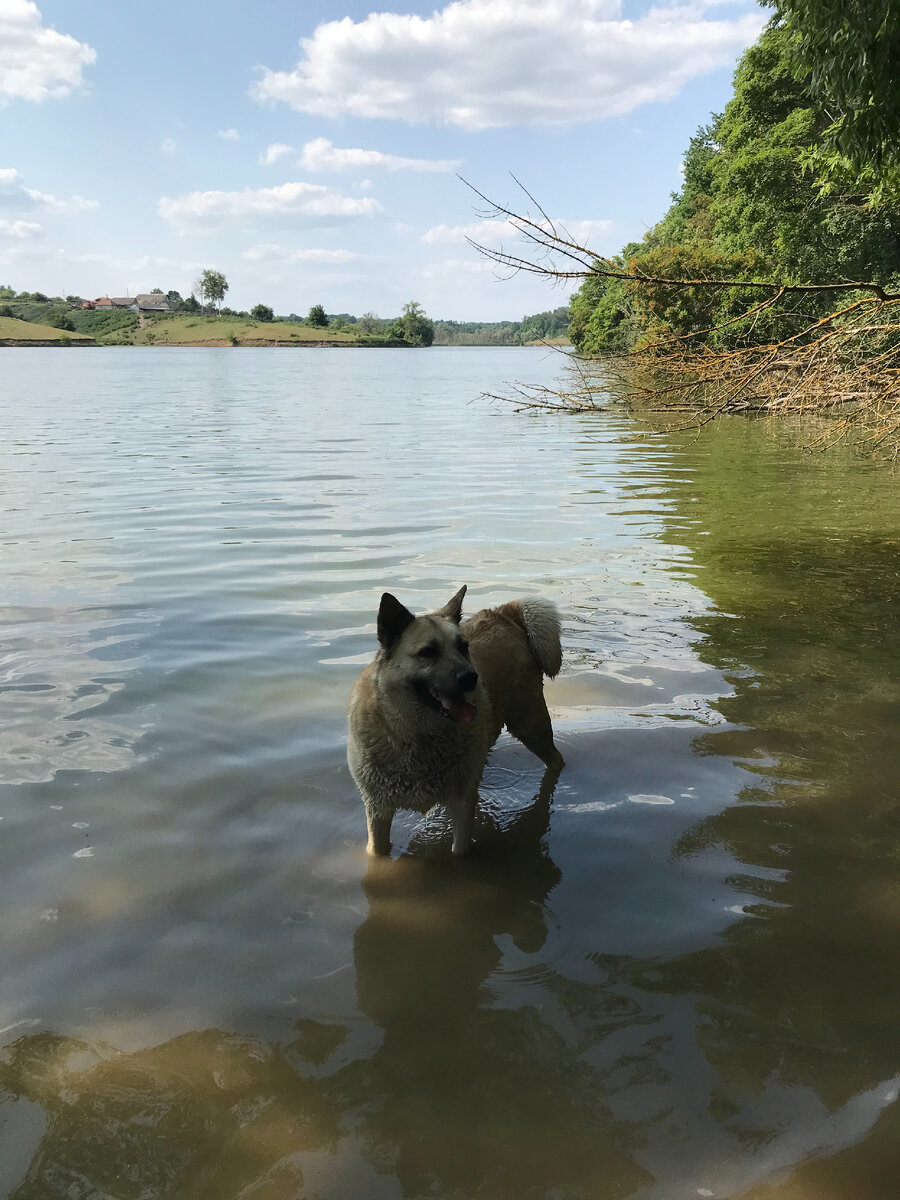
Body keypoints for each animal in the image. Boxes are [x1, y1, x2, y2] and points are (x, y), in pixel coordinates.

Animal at [348, 583, 564, 854]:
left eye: (464, 647)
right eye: (428, 652)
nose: (471, 678)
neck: (419, 736)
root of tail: (501, 613)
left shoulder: (461, 804)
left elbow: (460, 850)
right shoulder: (378, 810)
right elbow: (377, 850)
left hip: (530, 725)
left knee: (556, 760)